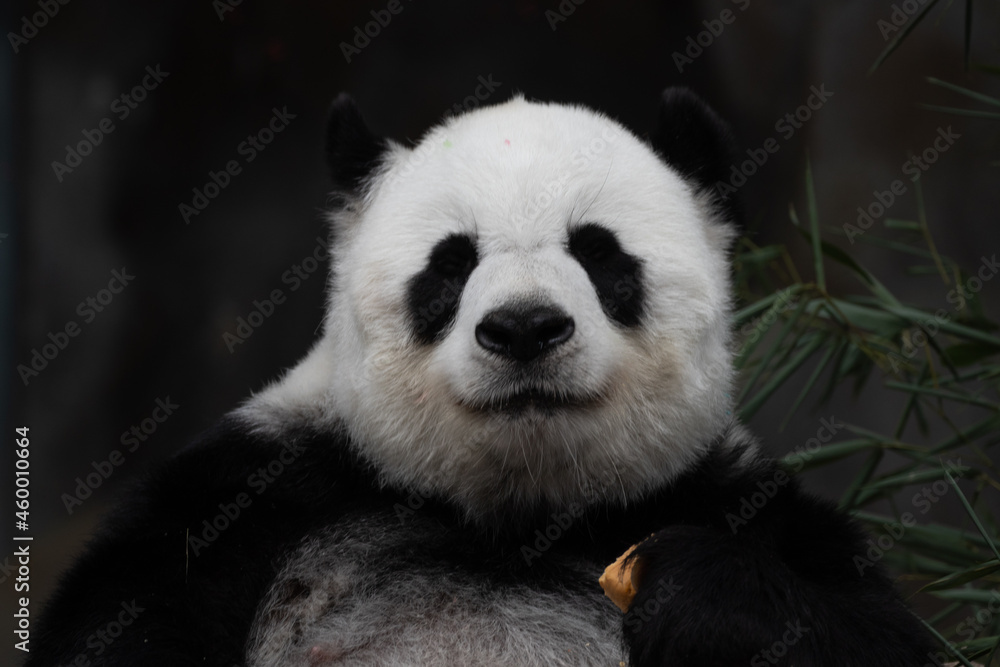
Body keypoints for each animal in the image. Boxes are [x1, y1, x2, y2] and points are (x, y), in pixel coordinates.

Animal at [30, 88, 933, 666]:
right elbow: (117, 624)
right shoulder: (258, 490)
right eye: (451, 264)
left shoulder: (721, 494)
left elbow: (875, 632)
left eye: (599, 252)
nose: (525, 328)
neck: (513, 512)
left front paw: (698, 593)